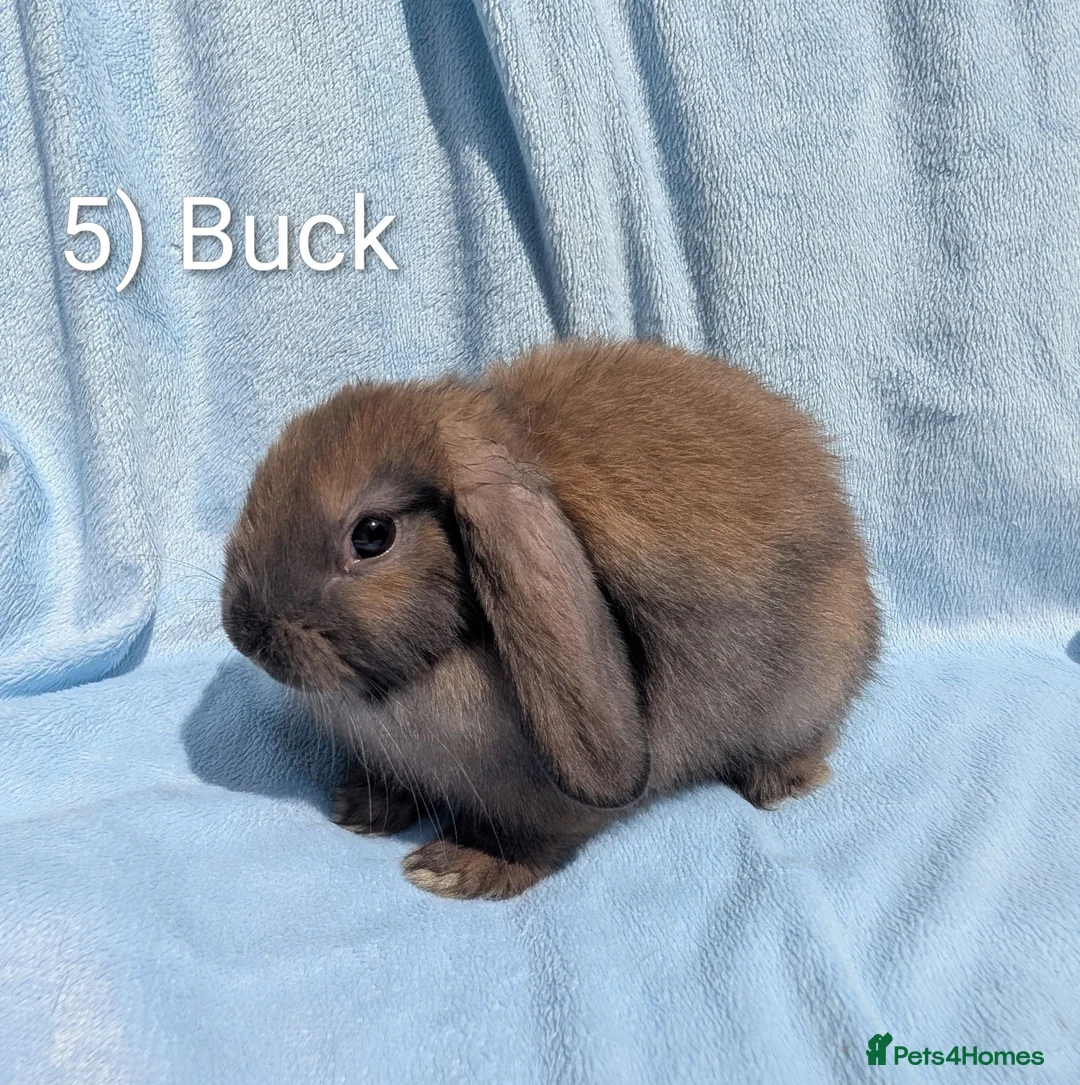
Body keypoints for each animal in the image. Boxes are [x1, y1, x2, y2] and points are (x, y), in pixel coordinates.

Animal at [221, 341, 880, 900]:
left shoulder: (549, 804)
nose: (245, 632)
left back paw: (776, 784)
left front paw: (454, 869)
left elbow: (531, 840)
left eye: (372, 535)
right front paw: (362, 808)